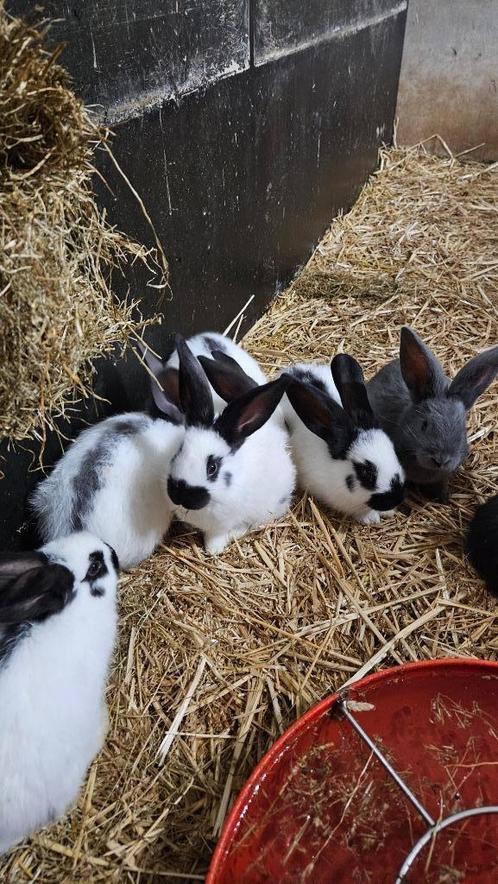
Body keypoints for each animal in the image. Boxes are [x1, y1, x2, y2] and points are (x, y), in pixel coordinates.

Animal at [165, 336, 296, 552]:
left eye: (212, 467)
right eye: (179, 451)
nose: (181, 495)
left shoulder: (222, 524)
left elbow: (216, 538)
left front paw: (213, 550)